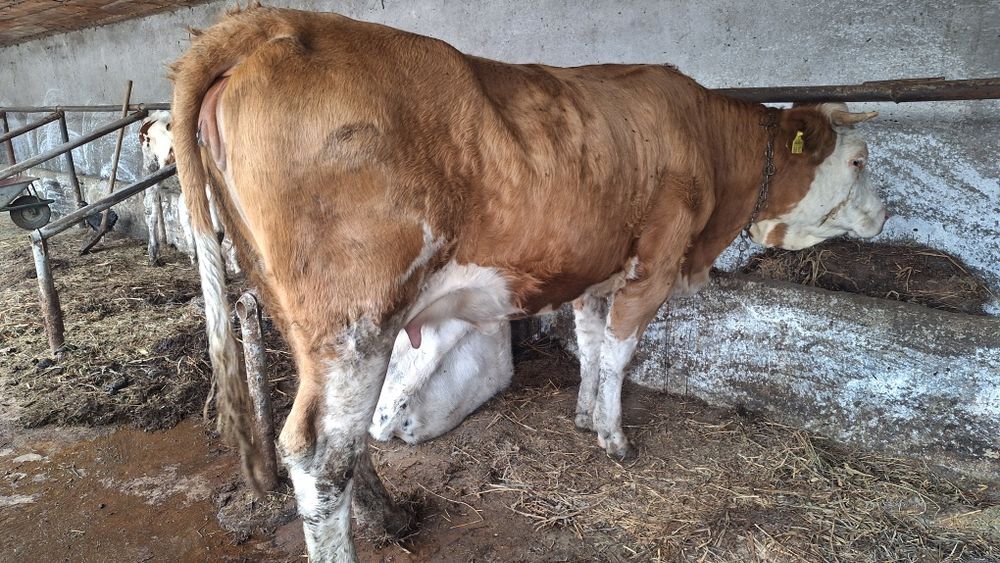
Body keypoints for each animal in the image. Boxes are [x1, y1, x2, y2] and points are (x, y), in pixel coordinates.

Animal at [169, 5, 887, 561]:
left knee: (340, 439)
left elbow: (592, 347)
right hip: (355, 317)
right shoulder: (654, 263)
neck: (702, 139)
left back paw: (391, 516)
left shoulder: (599, 268)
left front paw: (584, 415)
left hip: (303, 317)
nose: (885, 213)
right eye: (857, 160)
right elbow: (620, 354)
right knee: (319, 454)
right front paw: (614, 437)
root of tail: (276, 21)